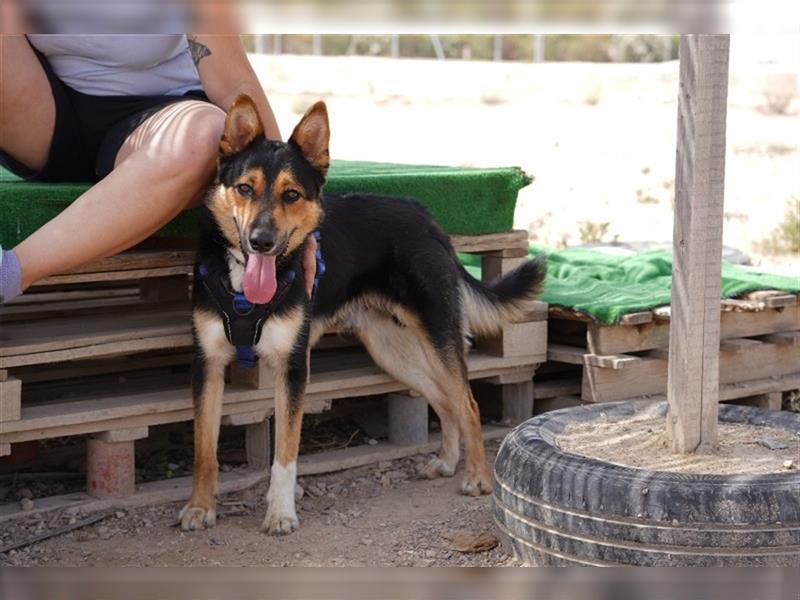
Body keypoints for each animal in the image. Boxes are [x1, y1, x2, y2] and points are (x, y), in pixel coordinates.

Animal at [180, 94, 544, 536]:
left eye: (291, 195)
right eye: (245, 188)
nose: (260, 241)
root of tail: (424, 216)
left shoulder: (292, 367)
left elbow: (285, 454)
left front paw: (281, 512)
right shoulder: (208, 364)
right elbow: (203, 448)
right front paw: (200, 506)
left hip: (437, 334)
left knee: (468, 403)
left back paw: (476, 477)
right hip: (392, 350)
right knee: (444, 400)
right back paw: (446, 461)